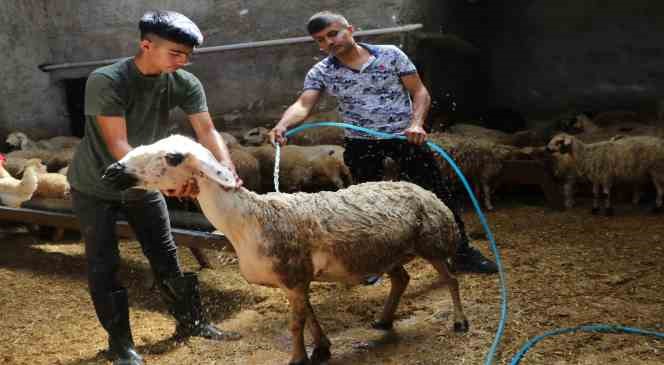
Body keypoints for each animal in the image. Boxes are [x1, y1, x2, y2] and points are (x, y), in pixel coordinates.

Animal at [102, 134, 466, 364]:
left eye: (173, 157)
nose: (111, 172)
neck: (250, 220)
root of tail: (425, 192)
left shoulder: (294, 276)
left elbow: (296, 323)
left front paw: (297, 357)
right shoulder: (299, 280)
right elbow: (311, 316)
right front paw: (321, 349)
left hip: (432, 242)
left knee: (451, 279)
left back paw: (460, 322)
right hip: (388, 252)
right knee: (401, 279)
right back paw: (384, 320)